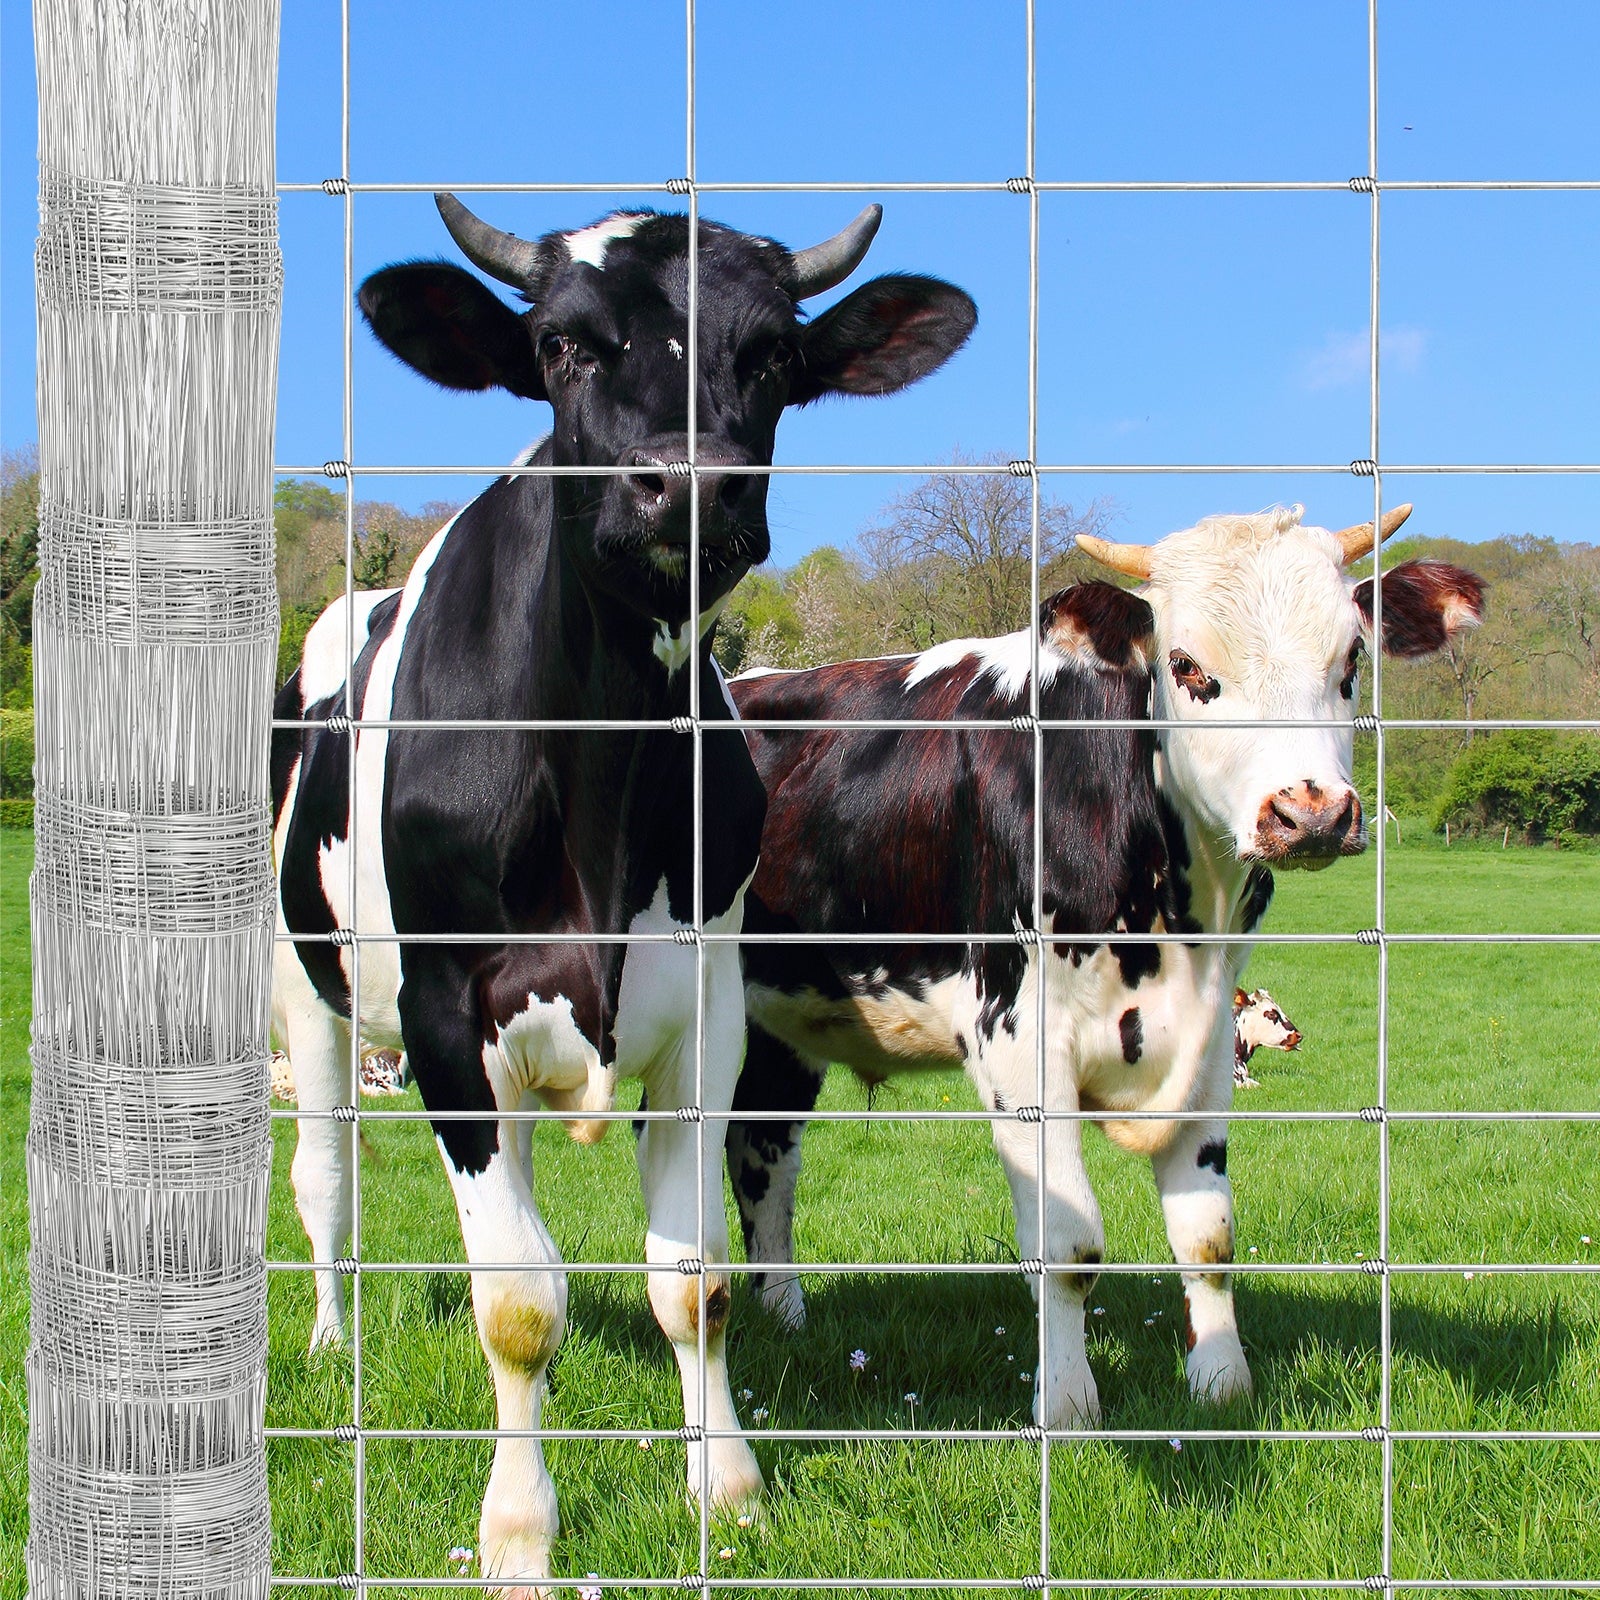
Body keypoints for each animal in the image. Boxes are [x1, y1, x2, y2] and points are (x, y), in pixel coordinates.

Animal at [270, 194, 975, 1591]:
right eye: (559, 344)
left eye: (773, 354)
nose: (688, 483)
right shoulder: (444, 1017)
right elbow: (516, 1302)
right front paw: (518, 1531)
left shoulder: (706, 1008)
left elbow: (692, 1279)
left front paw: (730, 1490)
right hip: (300, 983)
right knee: (324, 1177)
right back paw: (328, 1343)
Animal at [725, 504, 1484, 1429]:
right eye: (1186, 666)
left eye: (1350, 663)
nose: (1310, 814)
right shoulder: (1016, 1039)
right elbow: (1069, 1243)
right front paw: (1068, 1404)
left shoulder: (1209, 1043)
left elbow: (1208, 1234)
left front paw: (1221, 1383)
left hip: (778, 1024)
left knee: (763, 1157)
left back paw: (784, 1320)